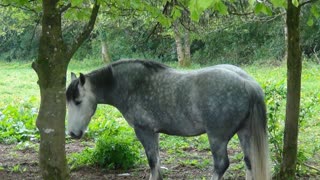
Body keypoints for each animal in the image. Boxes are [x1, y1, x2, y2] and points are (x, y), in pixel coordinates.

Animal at [66, 59, 268, 179]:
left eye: (78, 101)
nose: (72, 133)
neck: (131, 85)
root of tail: (248, 83)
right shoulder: (154, 133)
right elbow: (157, 161)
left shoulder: (144, 131)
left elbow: (152, 161)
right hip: (244, 132)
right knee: (249, 161)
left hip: (217, 138)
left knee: (221, 164)